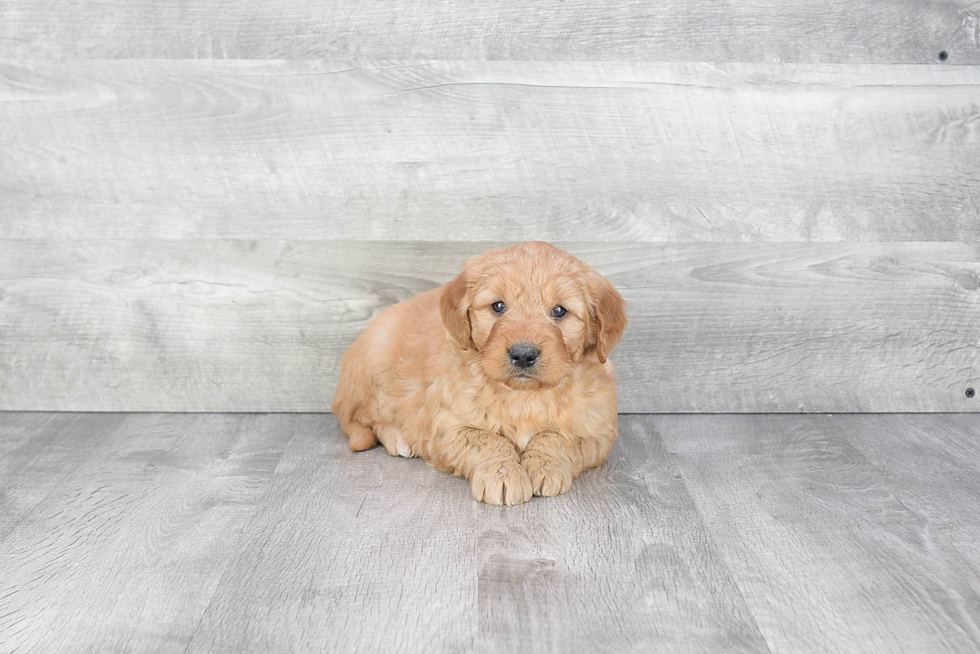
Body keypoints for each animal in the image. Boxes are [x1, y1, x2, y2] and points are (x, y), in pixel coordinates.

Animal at [332, 242, 628, 508]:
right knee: (359, 419)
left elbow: (556, 437)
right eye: (498, 306)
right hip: (374, 362)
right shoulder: (447, 427)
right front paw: (504, 475)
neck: (523, 396)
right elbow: (487, 440)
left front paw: (544, 467)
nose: (523, 354)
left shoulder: (597, 431)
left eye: (559, 311)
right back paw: (399, 438)